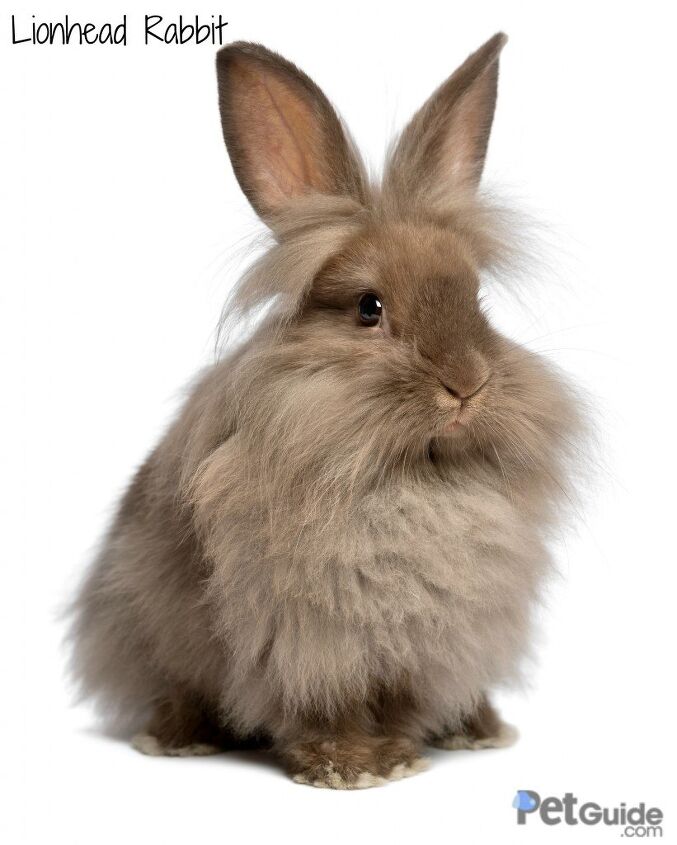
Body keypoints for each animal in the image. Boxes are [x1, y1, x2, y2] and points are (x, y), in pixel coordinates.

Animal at [69, 33, 583, 789]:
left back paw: (480, 730)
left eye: (475, 298)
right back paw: (176, 740)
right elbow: (324, 706)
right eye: (369, 307)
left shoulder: (427, 642)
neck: (410, 474)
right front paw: (350, 769)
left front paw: (401, 754)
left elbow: (401, 699)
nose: (467, 384)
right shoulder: (303, 639)